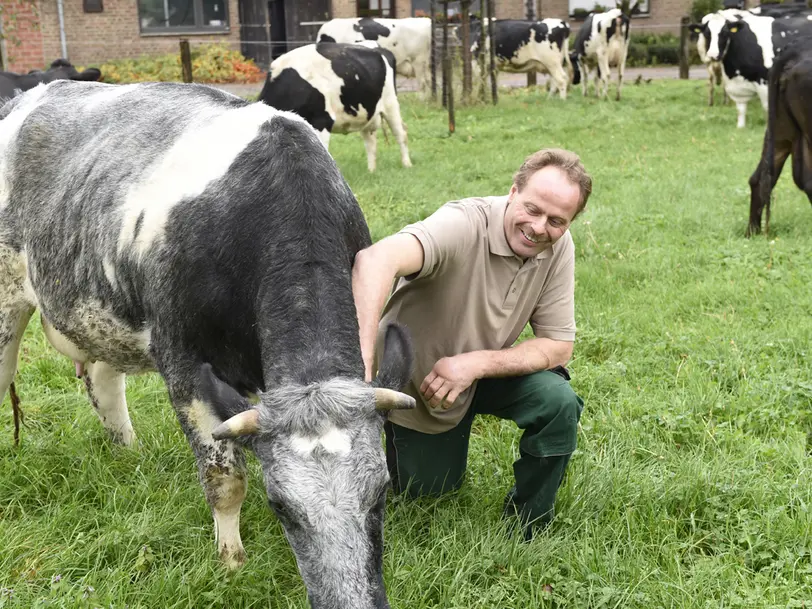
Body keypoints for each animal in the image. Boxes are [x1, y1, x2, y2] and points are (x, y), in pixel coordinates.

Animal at [0, 79, 416, 608]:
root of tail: (29, 94)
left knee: (103, 379)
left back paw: (128, 454)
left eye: (380, 493)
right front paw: (232, 564)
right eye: (281, 507)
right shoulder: (184, 365)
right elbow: (225, 479)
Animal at [258, 43, 412, 172]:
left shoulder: (322, 121)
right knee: (371, 141)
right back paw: (371, 171)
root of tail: (379, 48)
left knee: (401, 133)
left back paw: (406, 164)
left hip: (391, 103)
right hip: (367, 112)